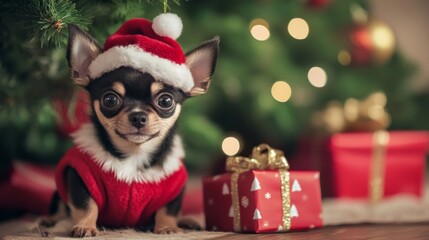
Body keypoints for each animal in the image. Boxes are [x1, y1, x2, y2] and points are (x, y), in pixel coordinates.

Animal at [48, 13, 219, 236]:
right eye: (110, 100)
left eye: (166, 101)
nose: (138, 116)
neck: (134, 156)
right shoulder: (78, 176)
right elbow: (86, 205)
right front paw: (85, 226)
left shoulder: (174, 187)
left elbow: (168, 210)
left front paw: (167, 227)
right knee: (59, 207)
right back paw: (50, 221)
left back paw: (187, 221)